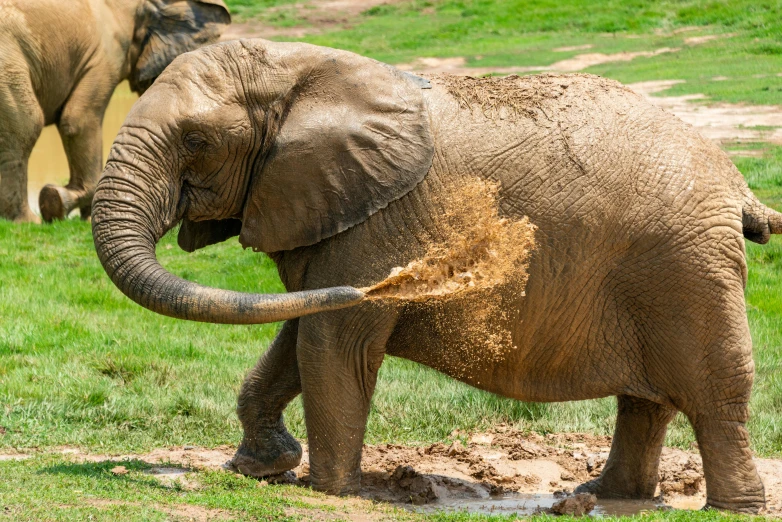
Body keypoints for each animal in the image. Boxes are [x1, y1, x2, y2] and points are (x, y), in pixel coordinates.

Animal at [0, 0, 231, 221]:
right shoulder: (106, 53)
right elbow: (79, 119)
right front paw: (68, 207)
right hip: (9, 63)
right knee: (27, 125)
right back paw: (28, 221)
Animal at [93, 38, 782, 510]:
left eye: (197, 142)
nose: (424, 274)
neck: (301, 69)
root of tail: (737, 185)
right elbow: (303, 328)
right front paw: (260, 467)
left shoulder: (373, 223)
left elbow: (334, 341)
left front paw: (329, 491)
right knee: (648, 401)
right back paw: (609, 497)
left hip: (687, 269)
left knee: (715, 394)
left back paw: (733, 508)